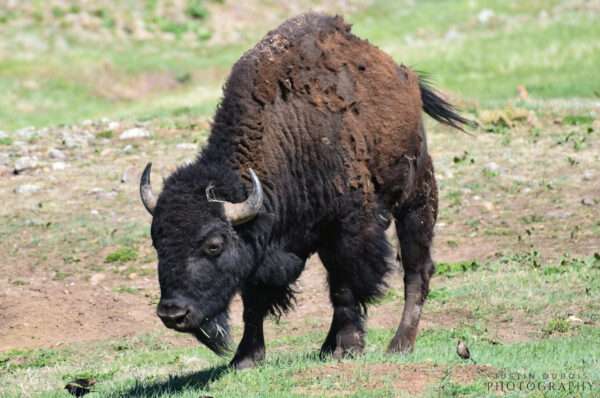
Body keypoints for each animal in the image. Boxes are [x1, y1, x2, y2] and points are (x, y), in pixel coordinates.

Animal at [141, 13, 468, 370]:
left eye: (214, 245)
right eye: (157, 241)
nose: (172, 313)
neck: (287, 135)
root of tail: (404, 75)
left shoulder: (347, 231)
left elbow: (345, 289)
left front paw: (349, 347)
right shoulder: (269, 247)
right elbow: (254, 301)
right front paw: (246, 358)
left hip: (416, 199)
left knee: (415, 271)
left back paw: (399, 344)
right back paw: (329, 347)